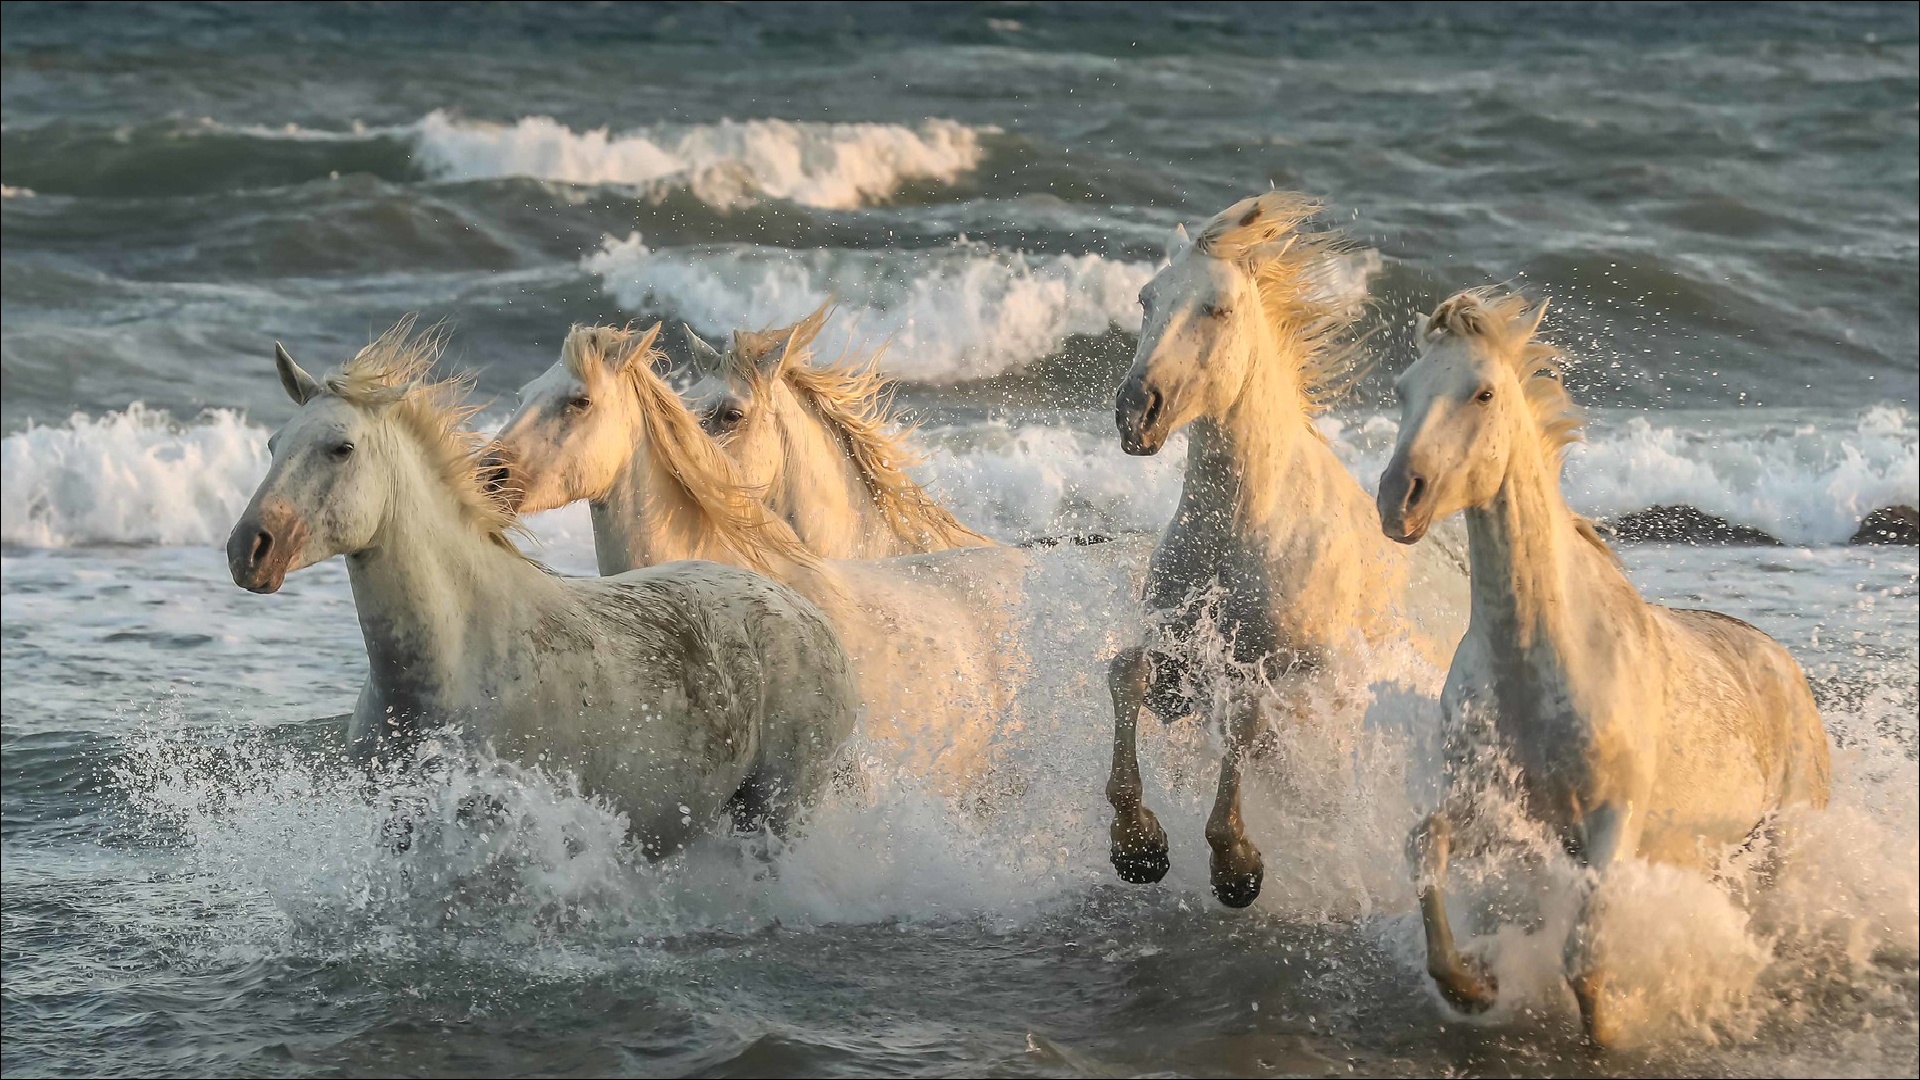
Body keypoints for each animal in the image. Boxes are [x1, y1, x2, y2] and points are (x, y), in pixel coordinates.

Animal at [224, 322, 856, 853]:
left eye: (342, 448)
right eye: (274, 444)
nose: (247, 550)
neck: (452, 662)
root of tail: (809, 614)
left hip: (779, 811)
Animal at [1105, 189, 1459, 903]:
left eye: (1217, 308)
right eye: (1146, 299)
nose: (1136, 410)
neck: (1244, 528)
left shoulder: (1310, 681)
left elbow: (1248, 721)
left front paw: (1236, 865)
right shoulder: (1183, 663)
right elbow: (1127, 672)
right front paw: (1139, 844)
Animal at [1382, 288, 1827, 1045]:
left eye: (1483, 391)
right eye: (1405, 389)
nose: (1396, 499)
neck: (1539, 660)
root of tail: (1787, 668)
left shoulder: (1613, 821)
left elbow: (1585, 955)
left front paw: (1613, 1033)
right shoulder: (1495, 809)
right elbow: (1424, 846)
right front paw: (1473, 985)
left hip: (1778, 850)